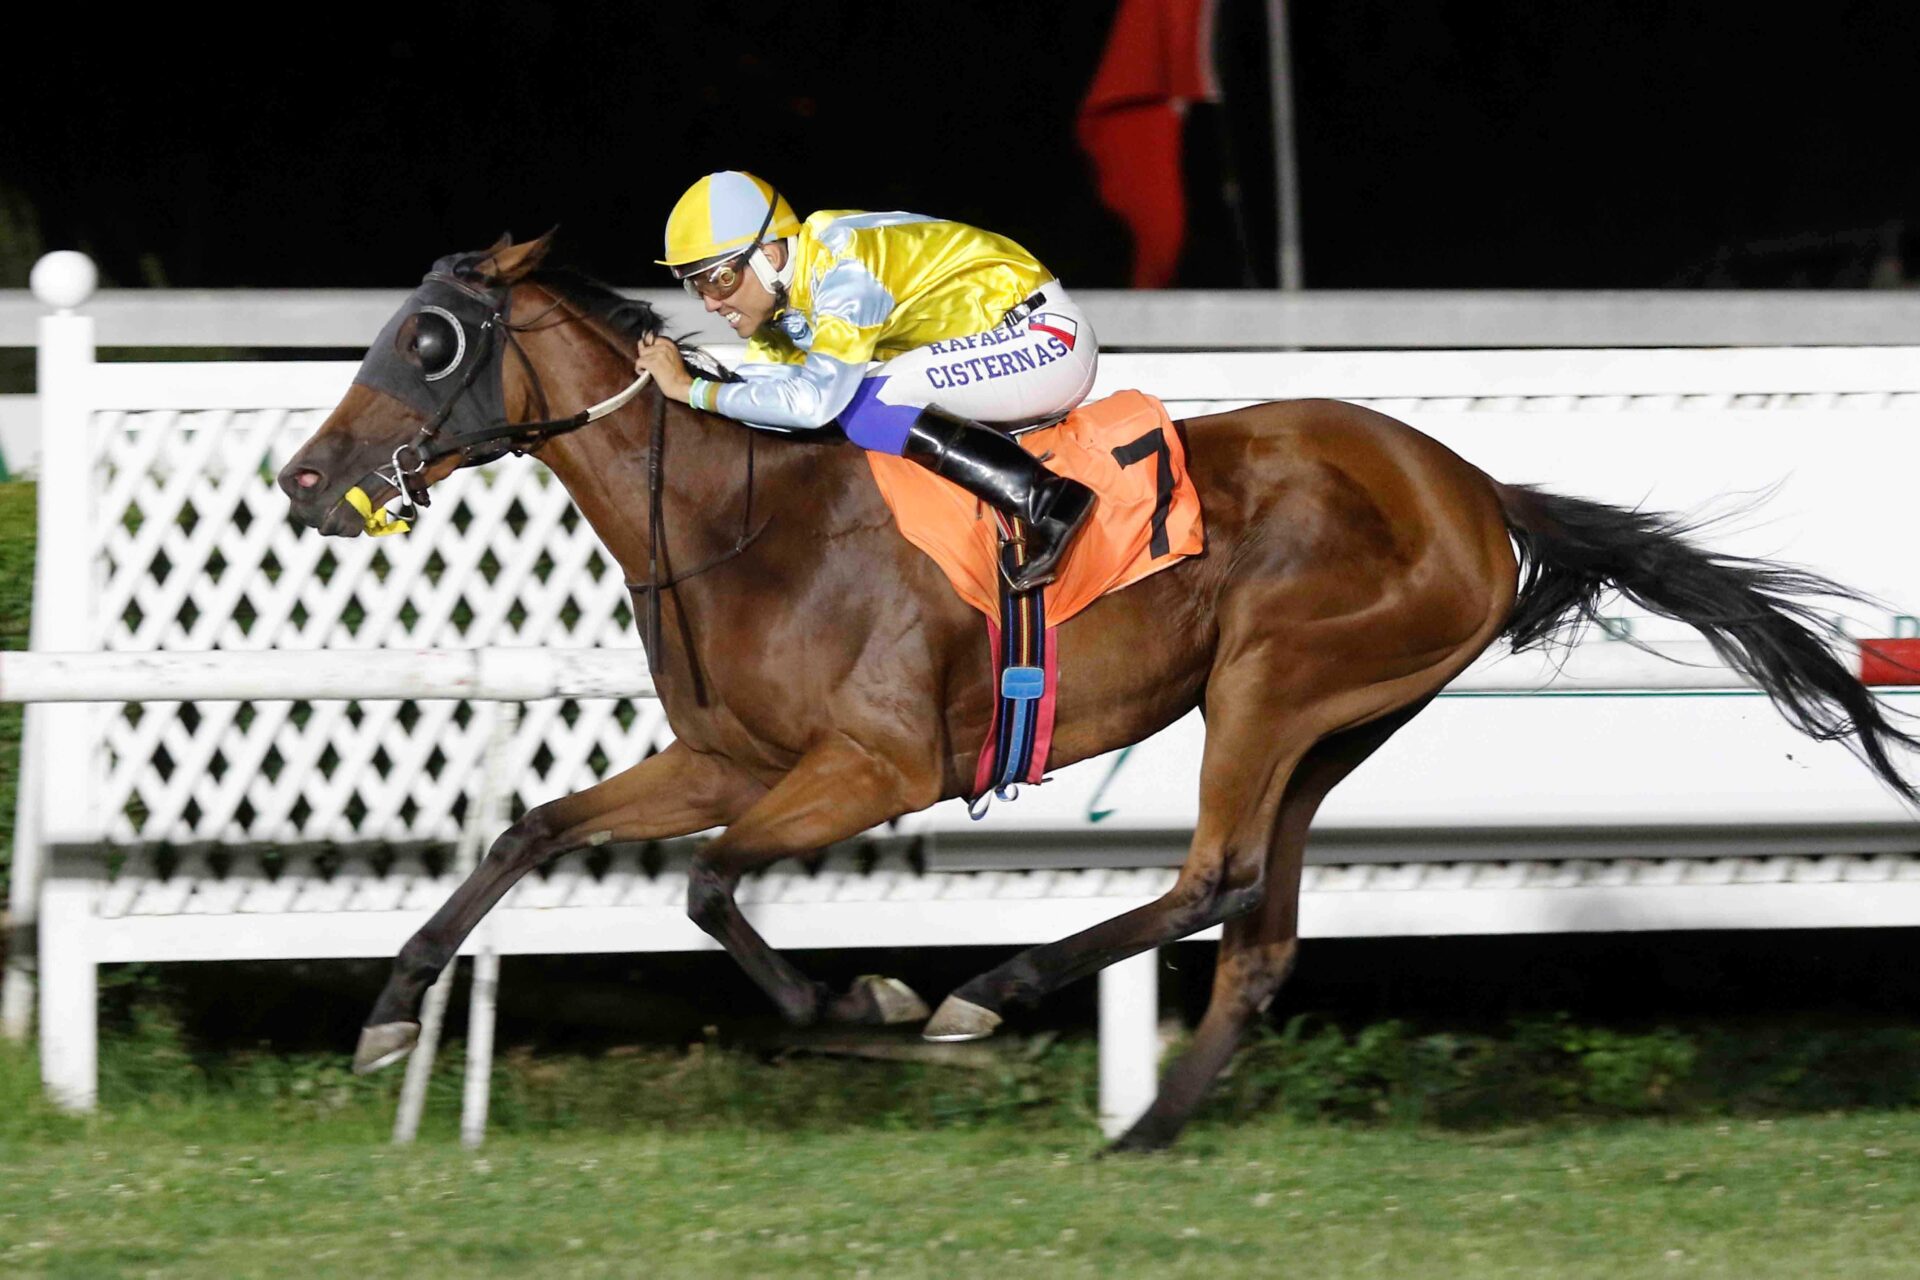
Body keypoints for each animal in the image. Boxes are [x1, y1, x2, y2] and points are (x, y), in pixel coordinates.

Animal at [278, 233, 1918, 1151]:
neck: (744, 509)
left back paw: (991, 992)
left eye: (427, 338)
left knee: (1215, 876)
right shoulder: (729, 758)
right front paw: (387, 1020)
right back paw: (1147, 1132)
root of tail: (1475, 488)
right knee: (1261, 928)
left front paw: (864, 1000)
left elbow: (708, 886)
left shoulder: (873, 767)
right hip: (1335, 721)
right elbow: (533, 831)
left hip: (1268, 679)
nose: (304, 480)